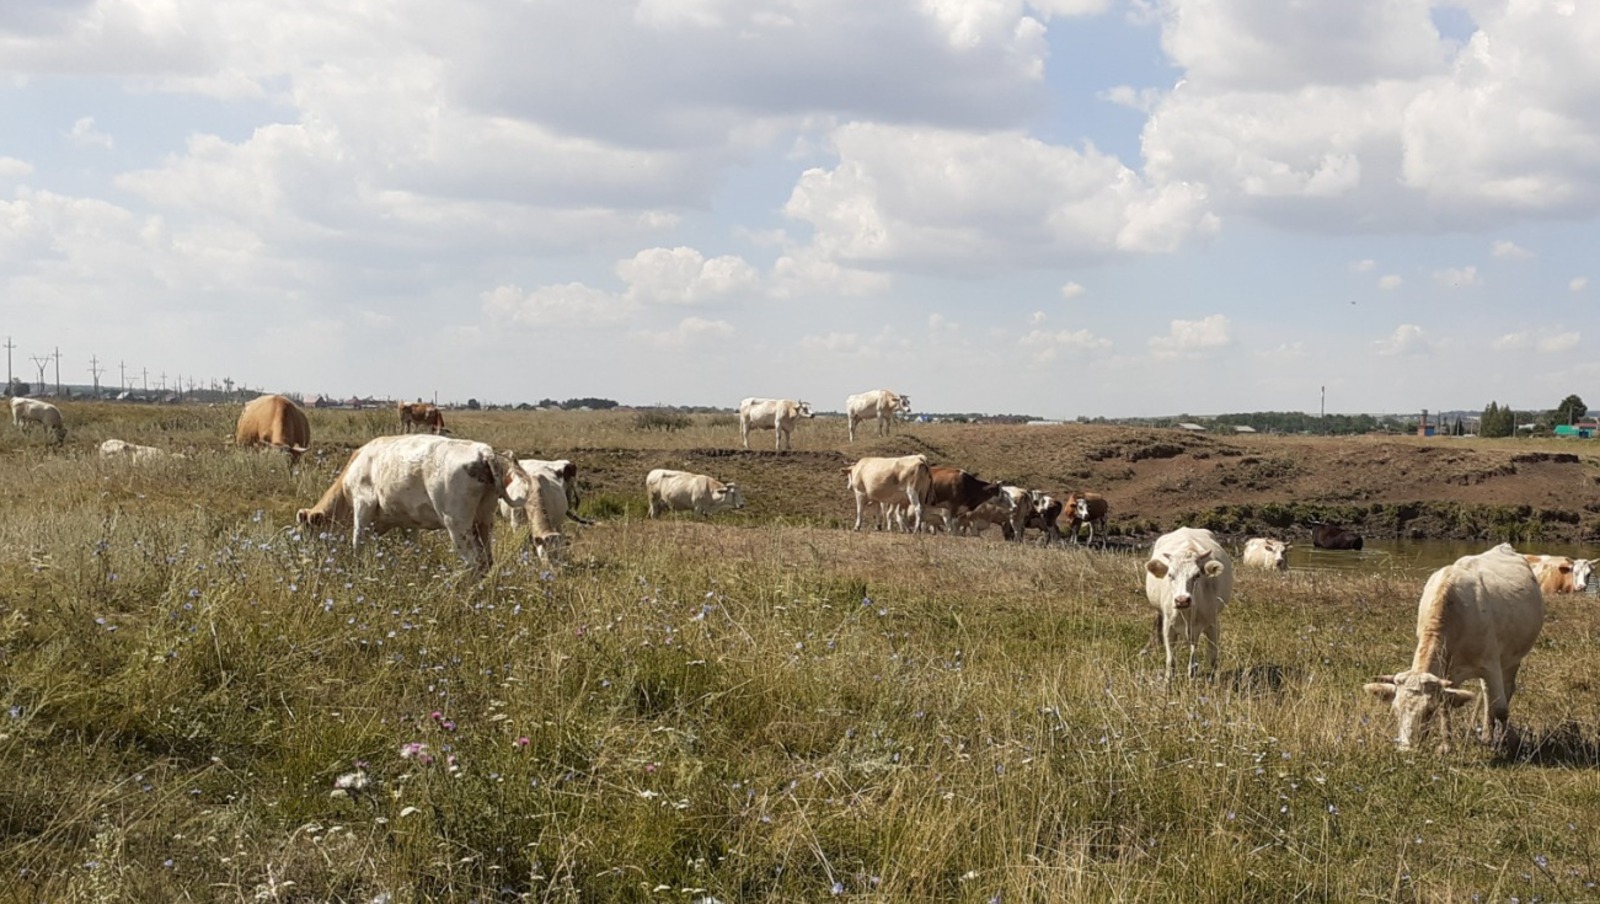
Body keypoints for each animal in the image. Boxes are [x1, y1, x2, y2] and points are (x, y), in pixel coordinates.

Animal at [294, 432, 531, 576]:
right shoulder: (408, 523)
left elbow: (357, 542)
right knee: (487, 561)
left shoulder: (363, 505)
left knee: (474, 562)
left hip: (457, 524)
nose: (308, 561)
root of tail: (484, 451)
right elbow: (413, 546)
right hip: (484, 520)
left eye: (308, 533)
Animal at [1139, 521, 1235, 678]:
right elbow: (1171, 661)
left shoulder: (1213, 624)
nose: (1182, 600)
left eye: (1197, 575)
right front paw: (1168, 681)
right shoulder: (1169, 627)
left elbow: (1212, 657)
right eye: (1170, 575)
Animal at [1363, 544, 1548, 748]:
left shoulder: (1491, 664)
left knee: (1505, 690)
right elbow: (1446, 705)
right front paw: (1446, 745)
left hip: (1512, 659)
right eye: (1395, 710)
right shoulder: (1448, 672)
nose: (1407, 749)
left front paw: (1511, 741)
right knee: (1486, 693)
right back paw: (1487, 734)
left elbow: (1501, 708)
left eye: (1428, 711)